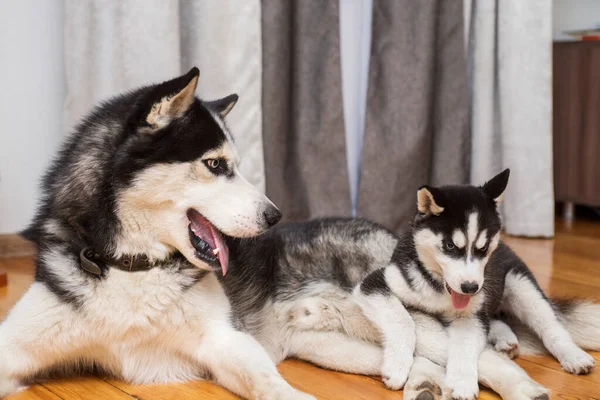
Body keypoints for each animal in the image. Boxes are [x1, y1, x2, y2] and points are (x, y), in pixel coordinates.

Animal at [2, 67, 314, 398]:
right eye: (215, 164)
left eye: (236, 166)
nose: (275, 216)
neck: (134, 265)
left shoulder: (226, 335)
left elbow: (266, 379)